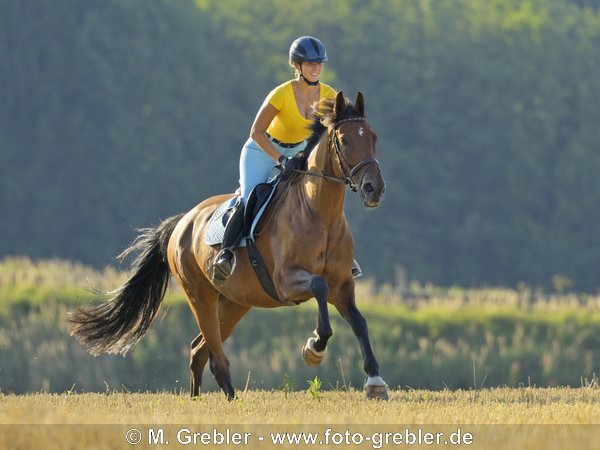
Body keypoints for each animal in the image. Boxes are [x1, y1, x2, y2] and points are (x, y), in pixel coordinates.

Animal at [70, 91, 390, 400]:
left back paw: (199, 400)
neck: (319, 213)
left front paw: (375, 382)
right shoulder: (287, 281)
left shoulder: (342, 283)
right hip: (199, 296)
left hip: (235, 302)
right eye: (345, 140)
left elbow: (359, 322)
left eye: (374, 137)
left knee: (199, 350)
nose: (374, 189)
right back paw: (229, 398)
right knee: (213, 355)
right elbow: (318, 287)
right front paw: (314, 348)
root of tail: (182, 223)